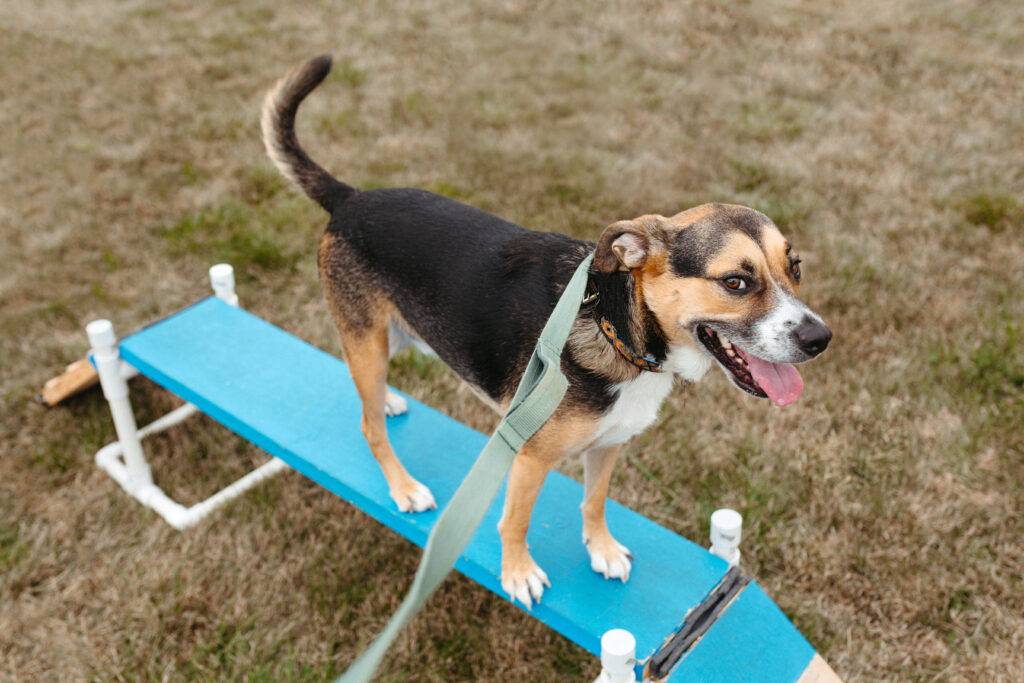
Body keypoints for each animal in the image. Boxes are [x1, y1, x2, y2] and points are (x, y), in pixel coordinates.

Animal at [260, 54, 827, 610]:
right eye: (736, 282)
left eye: (795, 267)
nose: (820, 339)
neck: (619, 332)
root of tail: (350, 198)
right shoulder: (529, 457)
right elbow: (515, 520)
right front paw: (518, 573)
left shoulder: (610, 443)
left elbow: (595, 501)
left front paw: (601, 550)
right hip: (367, 339)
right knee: (369, 425)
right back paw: (403, 486)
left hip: (388, 335)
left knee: (369, 395)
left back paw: (391, 400)